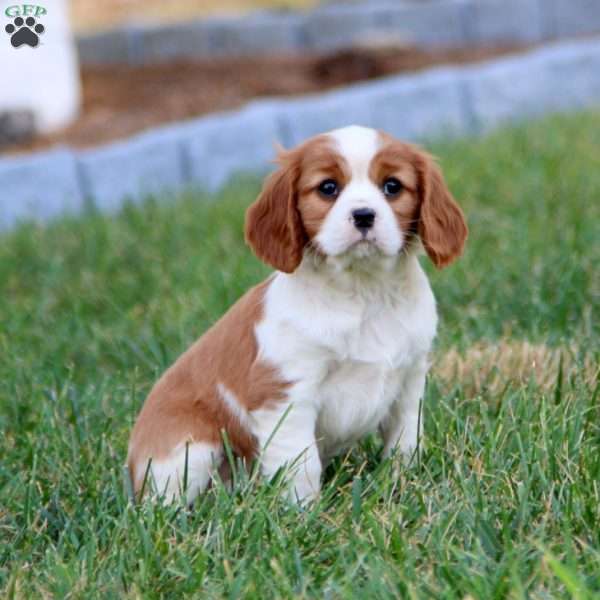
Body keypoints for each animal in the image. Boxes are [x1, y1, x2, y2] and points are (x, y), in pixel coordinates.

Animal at [126, 125, 466, 502]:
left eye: (392, 186)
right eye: (328, 188)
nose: (364, 215)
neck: (363, 291)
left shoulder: (409, 382)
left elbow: (405, 442)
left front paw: (402, 484)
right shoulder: (285, 394)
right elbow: (302, 464)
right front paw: (305, 510)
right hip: (189, 451)